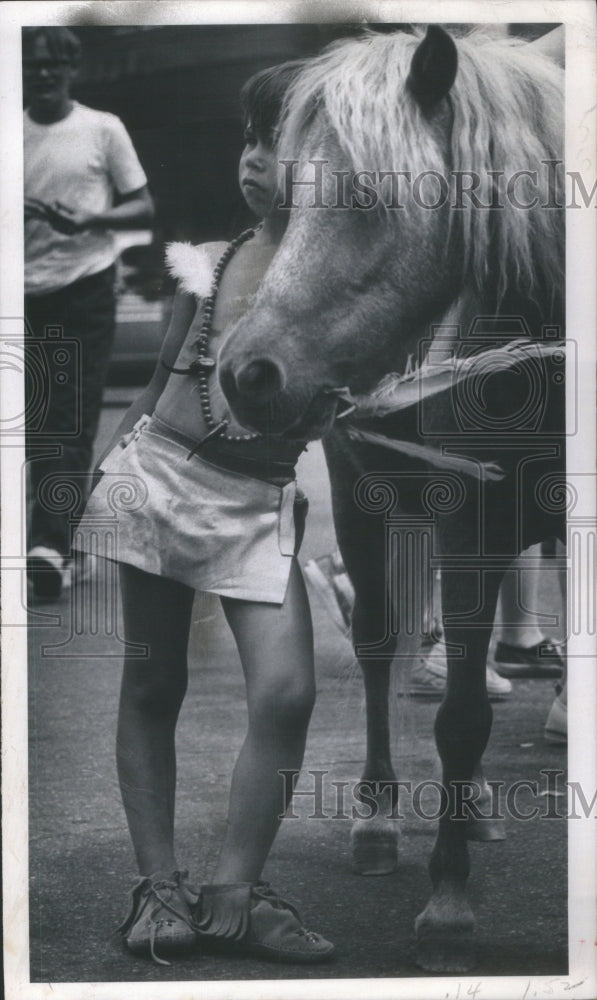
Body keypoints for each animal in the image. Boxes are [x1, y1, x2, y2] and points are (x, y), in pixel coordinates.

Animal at [218, 25, 564, 976]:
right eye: (286, 200)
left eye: (369, 200)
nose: (247, 373)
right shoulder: (467, 522)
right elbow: (458, 717)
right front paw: (447, 902)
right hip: (365, 496)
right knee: (379, 648)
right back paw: (378, 818)